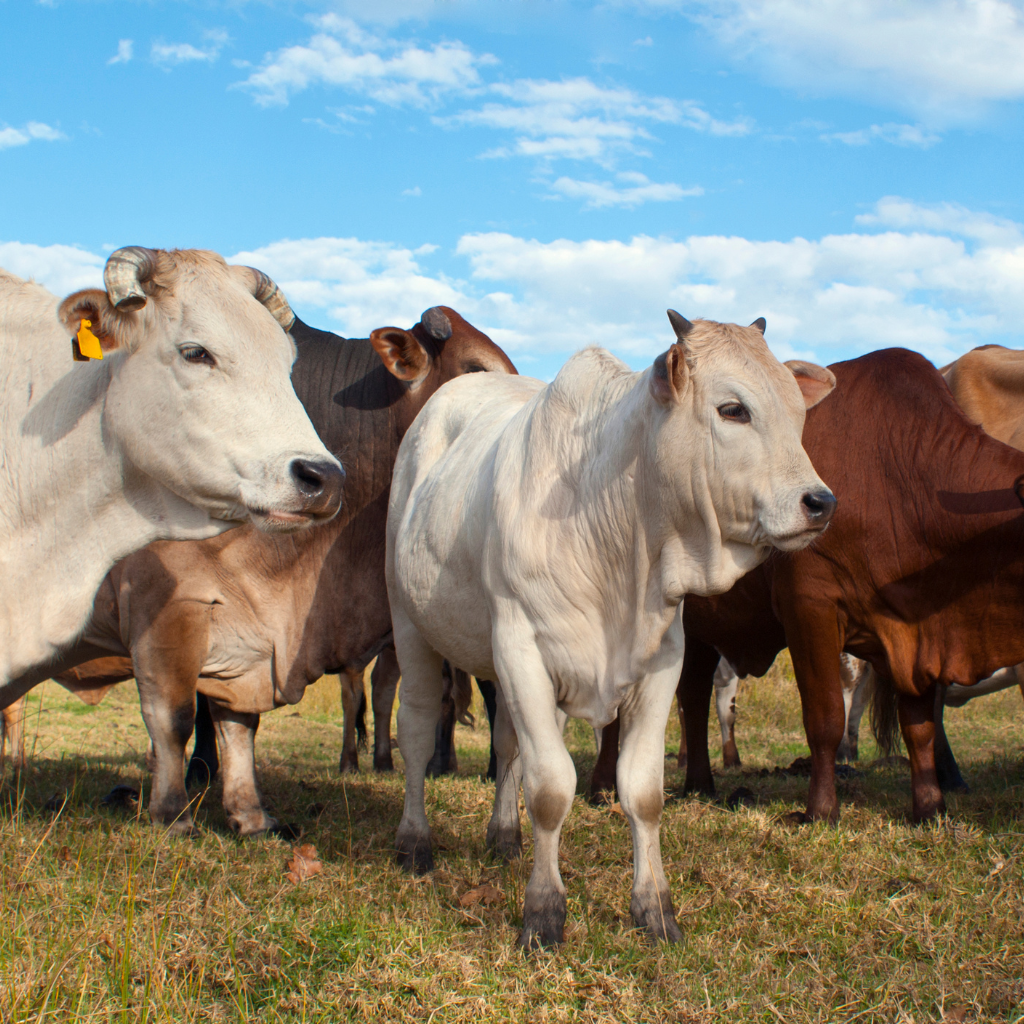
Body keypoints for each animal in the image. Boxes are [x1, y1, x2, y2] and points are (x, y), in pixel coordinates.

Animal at [24, 307, 516, 835]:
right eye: (475, 369)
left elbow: (238, 721)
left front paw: (247, 812)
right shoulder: (167, 607)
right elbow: (174, 716)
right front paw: (176, 807)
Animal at [387, 307, 835, 946]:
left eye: (798, 414)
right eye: (733, 409)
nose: (820, 503)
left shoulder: (660, 659)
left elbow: (641, 791)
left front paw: (655, 908)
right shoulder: (521, 650)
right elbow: (551, 789)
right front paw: (543, 913)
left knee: (507, 745)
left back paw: (504, 837)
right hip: (410, 625)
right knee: (419, 731)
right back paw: (414, 841)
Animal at [589, 348, 1024, 819]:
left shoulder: (912, 633)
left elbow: (920, 724)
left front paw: (930, 807)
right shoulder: (810, 607)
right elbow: (826, 718)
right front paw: (821, 810)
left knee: (695, 694)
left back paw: (701, 783)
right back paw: (602, 786)